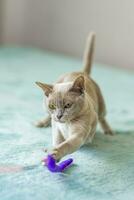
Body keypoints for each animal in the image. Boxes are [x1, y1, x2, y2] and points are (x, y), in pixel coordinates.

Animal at [35, 32, 113, 161]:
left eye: (68, 105)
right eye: (52, 106)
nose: (59, 116)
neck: (66, 124)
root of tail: (82, 72)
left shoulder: (79, 134)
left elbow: (66, 145)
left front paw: (54, 155)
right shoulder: (56, 128)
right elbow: (57, 140)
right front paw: (51, 150)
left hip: (101, 107)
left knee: (102, 117)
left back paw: (108, 131)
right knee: (48, 117)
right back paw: (41, 122)